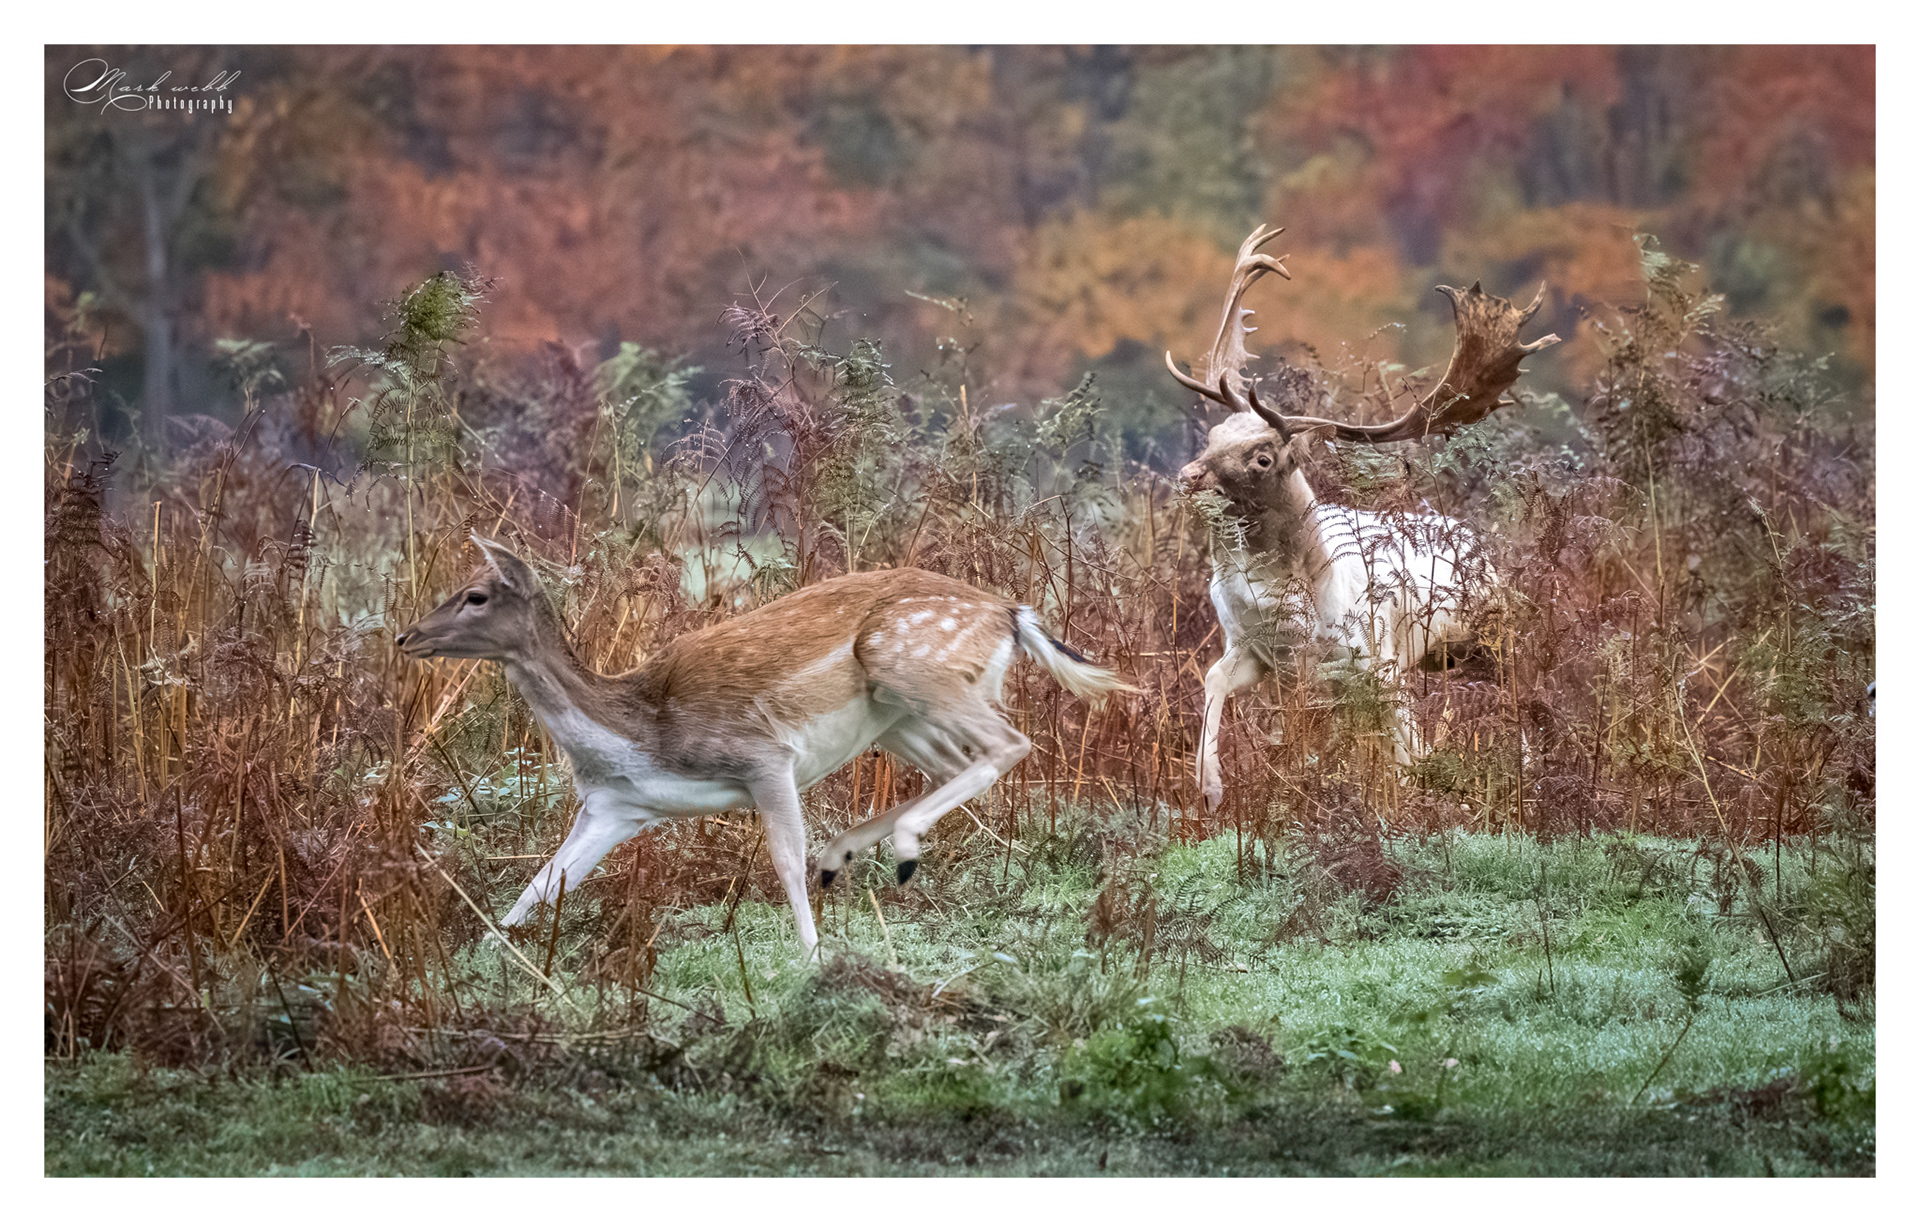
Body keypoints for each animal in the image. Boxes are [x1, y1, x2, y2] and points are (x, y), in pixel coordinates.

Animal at [394, 535, 1131, 958]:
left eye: (475, 595)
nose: (406, 636)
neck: (639, 733)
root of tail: (1012, 614)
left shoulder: (762, 756)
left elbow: (781, 858)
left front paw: (811, 954)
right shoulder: (616, 807)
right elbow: (544, 883)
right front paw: (492, 954)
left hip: (911, 667)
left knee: (1010, 742)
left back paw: (892, 850)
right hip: (899, 715)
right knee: (960, 763)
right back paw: (854, 853)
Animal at [1166, 223, 1560, 810]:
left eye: (1262, 456)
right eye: (1215, 434)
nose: (1188, 476)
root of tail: (1480, 542)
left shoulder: (1376, 660)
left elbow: (1409, 752)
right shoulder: (1251, 650)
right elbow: (1213, 683)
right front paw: (1210, 787)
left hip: (1493, 632)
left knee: (1521, 700)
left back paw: (1528, 775)